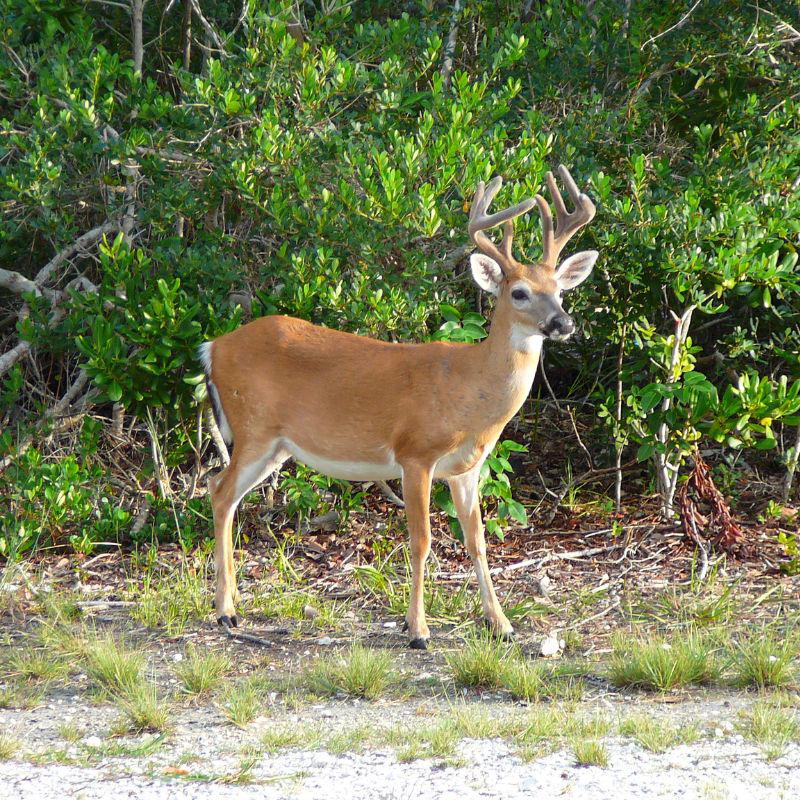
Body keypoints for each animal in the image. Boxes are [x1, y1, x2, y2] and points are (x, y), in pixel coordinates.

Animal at [199, 165, 598, 649]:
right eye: (519, 292)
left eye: (560, 290)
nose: (563, 323)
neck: (469, 391)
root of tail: (213, 347)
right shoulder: (416, 454)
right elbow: (421, 540)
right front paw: (418, 630)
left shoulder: (466, 468)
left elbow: (477, 540)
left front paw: (500, 623)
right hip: (253, 427)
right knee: (219, 491)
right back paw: (225, 612)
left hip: (275, 445)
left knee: (222, 492)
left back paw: (232, 604)